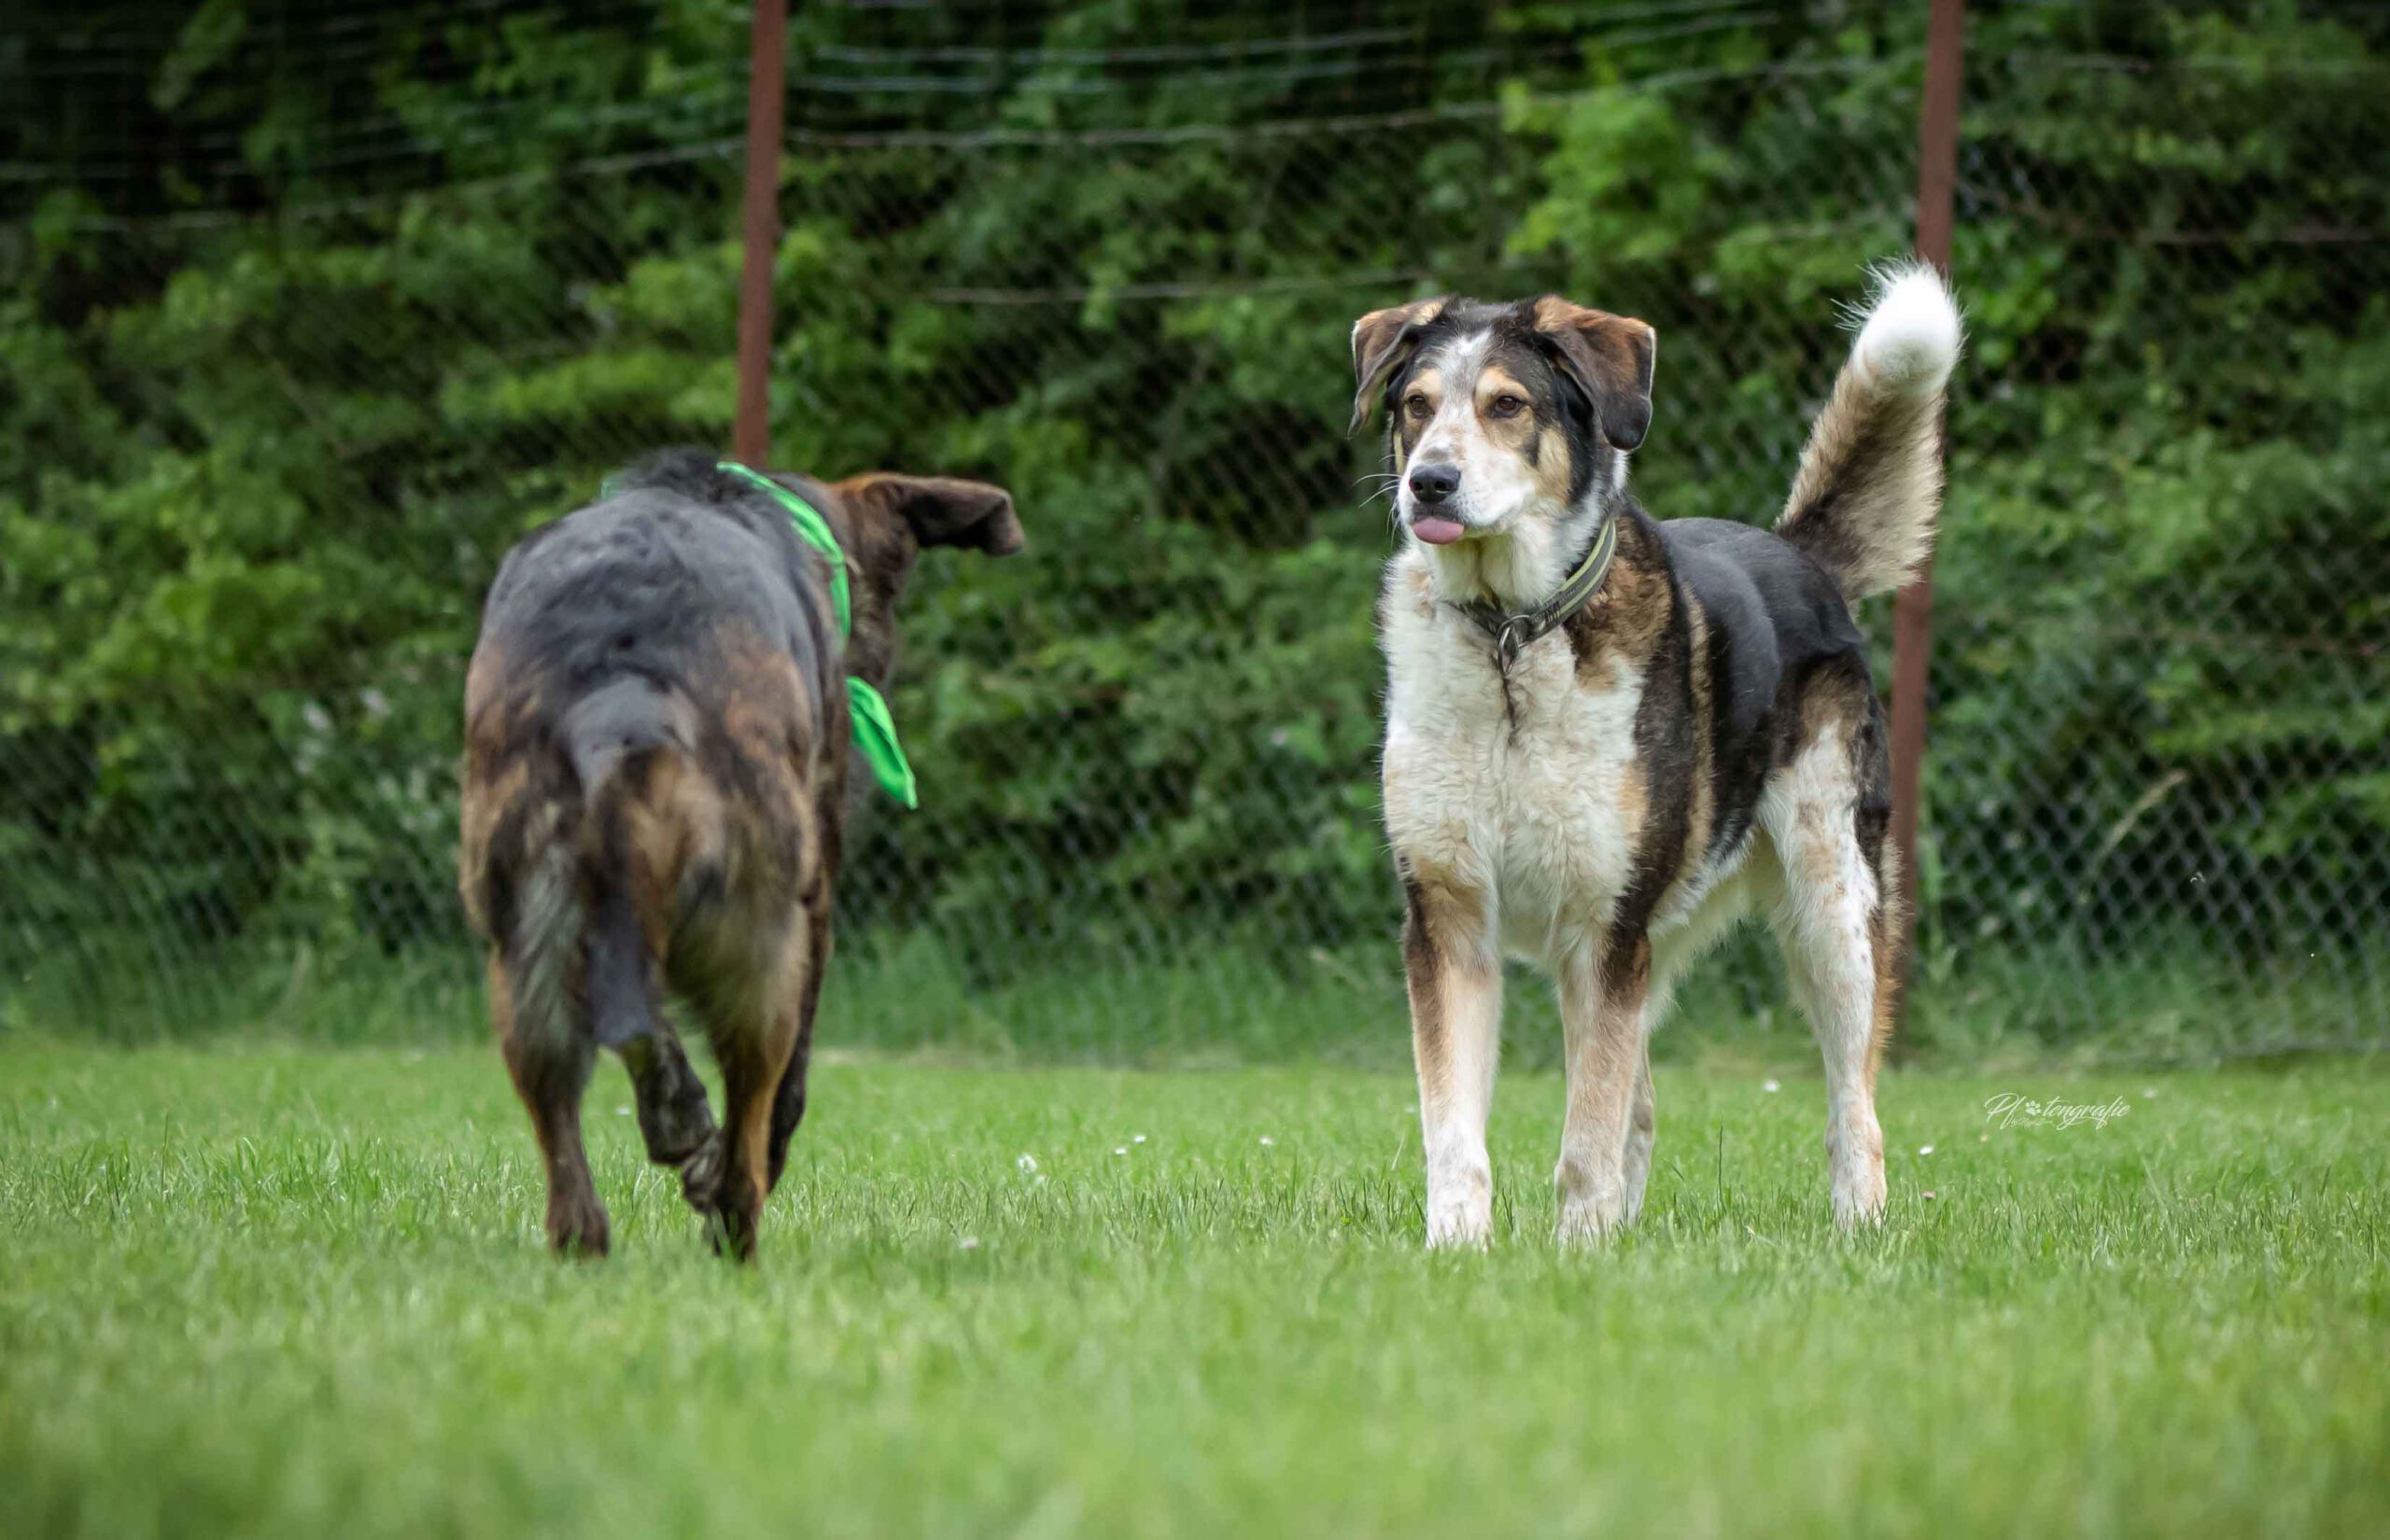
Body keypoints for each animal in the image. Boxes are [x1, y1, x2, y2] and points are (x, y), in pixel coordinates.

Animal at [461, 441, 1022, 1251]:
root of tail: (623, 683)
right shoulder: (815, 907)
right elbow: (791, 1092)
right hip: (763, 945)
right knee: (753, 1114)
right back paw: (733, 1226)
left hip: (523, 952)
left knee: (574, 1169)